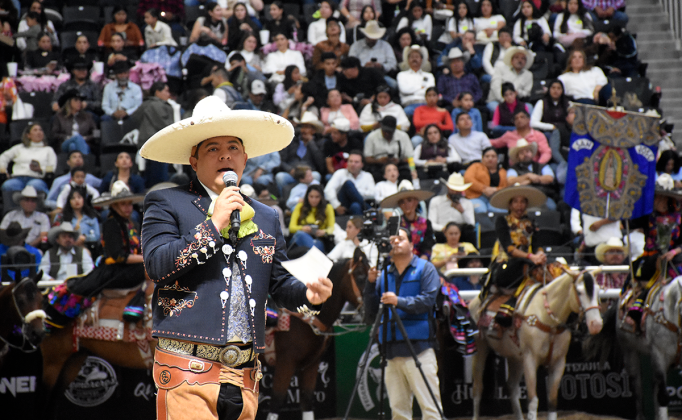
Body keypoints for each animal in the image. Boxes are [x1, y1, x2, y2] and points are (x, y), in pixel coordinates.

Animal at [266, 248, 370, 420]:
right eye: (361, 277)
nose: (371, 308)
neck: (306, 320)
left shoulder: (311, 365)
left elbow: (307, 401)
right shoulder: (286, 362)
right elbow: (276, 402)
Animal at [468, 270, 600, 420]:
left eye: (599, 290)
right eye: (579, 292)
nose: (596, 324)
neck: (548, 320)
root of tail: (475, 302)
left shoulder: (558, 362)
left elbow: (552, 402)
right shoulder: (530, 359)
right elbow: (533, 400)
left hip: (515, 358)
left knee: (512, 387)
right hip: (480, 350)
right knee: (478, 388)